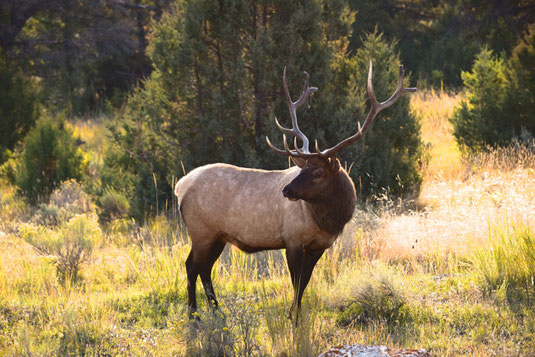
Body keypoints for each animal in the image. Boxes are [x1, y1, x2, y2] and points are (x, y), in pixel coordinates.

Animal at [176, 60, 418, 318]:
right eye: (303, 169)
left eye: (318, 173)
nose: (286, 191)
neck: (329, 221)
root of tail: (180, 186)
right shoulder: (292, 239)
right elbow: (296, 281)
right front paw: (293, 316)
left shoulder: (319, 246)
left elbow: (305, 281)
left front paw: (296, 314)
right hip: (201, 230)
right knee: (192, 266)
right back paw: (194, 314)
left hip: (217, 235)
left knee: (204, 268)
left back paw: (216, 310)